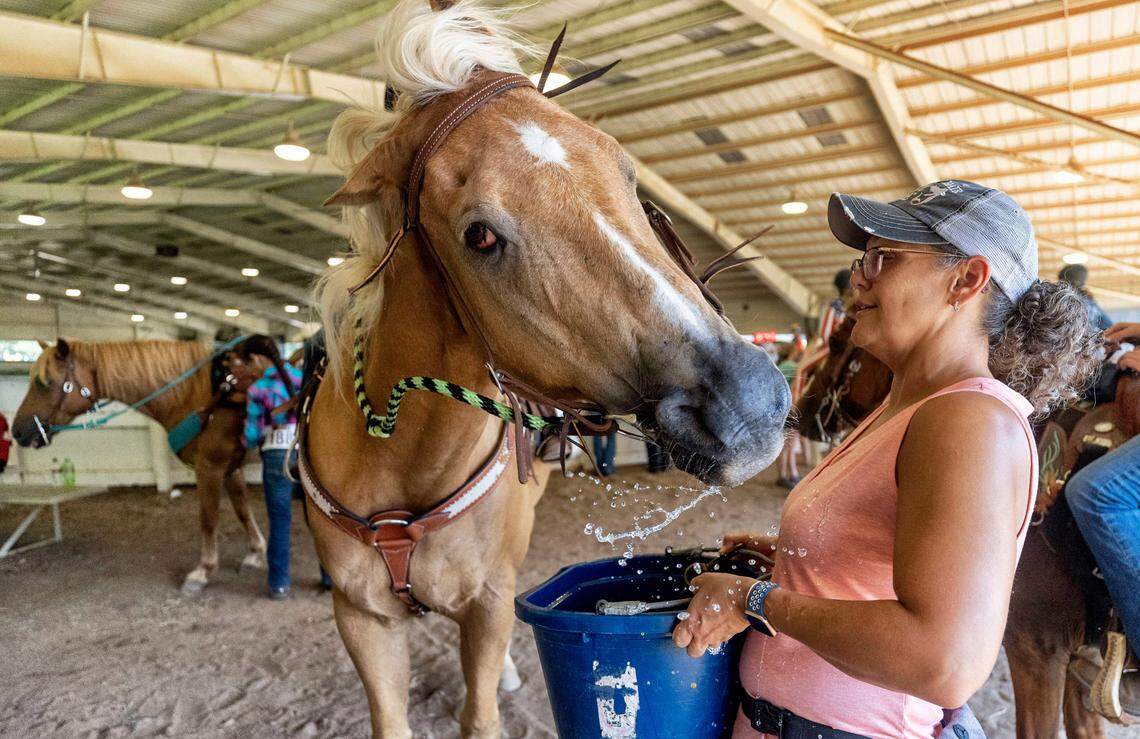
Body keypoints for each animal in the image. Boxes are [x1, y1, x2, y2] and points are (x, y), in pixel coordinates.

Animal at [10, 337, 267, 593]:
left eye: (44, 383)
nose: (18, 431)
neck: (199, 394)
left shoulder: (210, 467)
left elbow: (209, 518)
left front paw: (203, 571)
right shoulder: (231, 468)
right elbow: (242, 509)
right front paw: (255, 554)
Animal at [302, 1, 790, 736]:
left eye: (625, 171)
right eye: (479, 236)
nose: (750, 401)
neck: (394, 461)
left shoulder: (489, 600)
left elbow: (481, 712)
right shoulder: (361, 618)